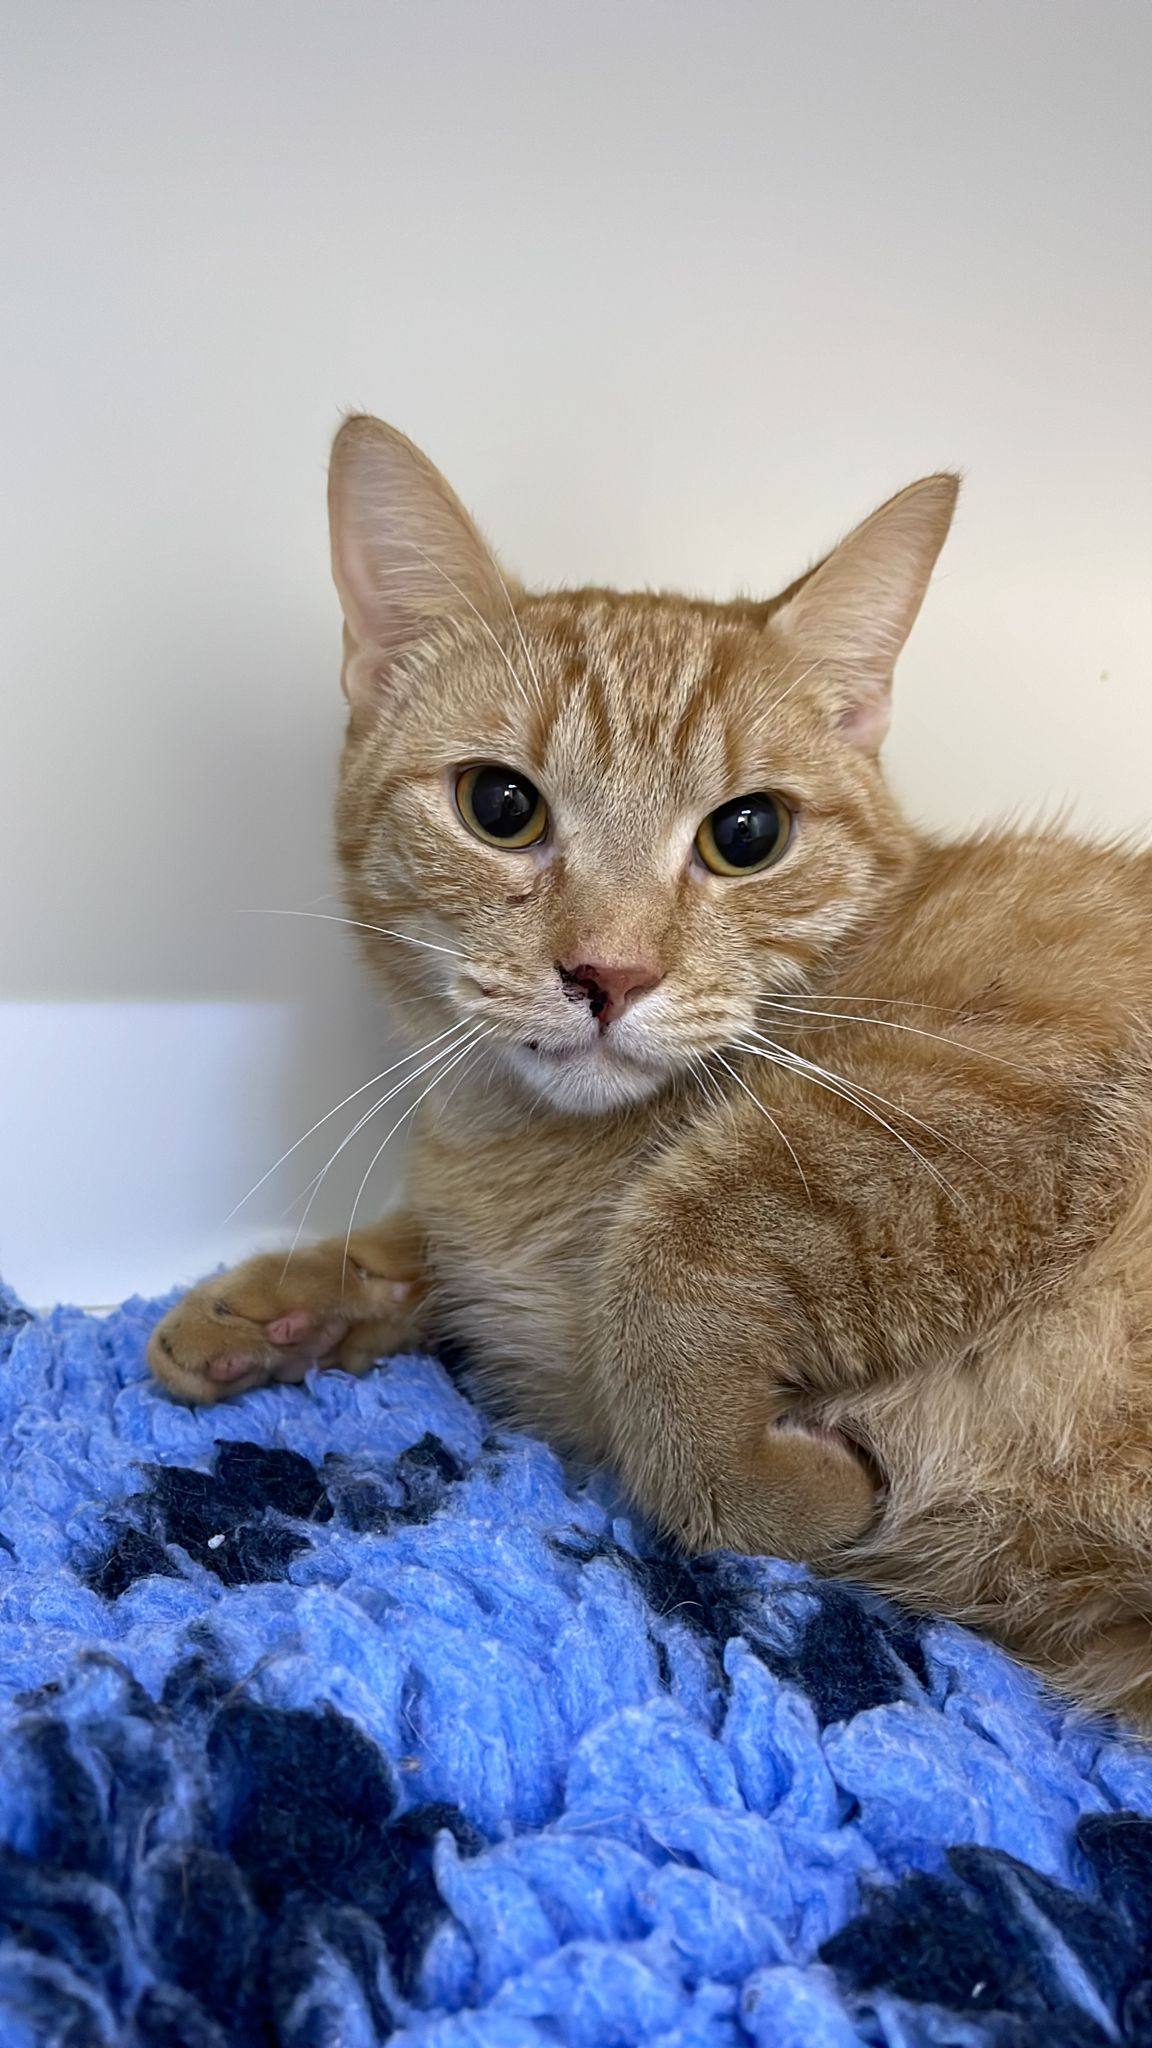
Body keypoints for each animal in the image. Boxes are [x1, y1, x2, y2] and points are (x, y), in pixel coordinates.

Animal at [149, 416, 1152, 1728]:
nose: (609, 972)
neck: (534, 1166)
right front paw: (282, 1303)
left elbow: (680, 1246)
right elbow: (443, 1257)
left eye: (748, 833)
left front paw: (762, 1482)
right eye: (501, 806)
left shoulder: (1001, 1068)